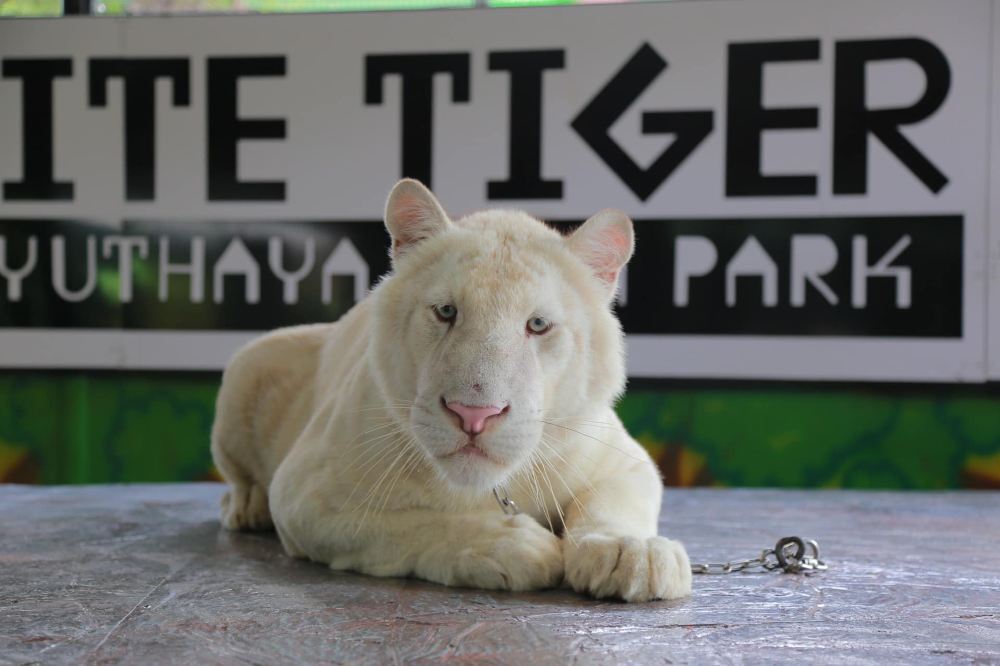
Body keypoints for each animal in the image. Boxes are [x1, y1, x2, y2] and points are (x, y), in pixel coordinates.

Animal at [211, 179, 691, 602]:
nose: (473, 415)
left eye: (537, 324)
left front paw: (631, 553)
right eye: (446, 311)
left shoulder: (625, 461)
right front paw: (511, 546)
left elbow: (615, 504)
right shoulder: (307, 491)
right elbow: (407, 522)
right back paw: (246, 508)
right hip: (249, 361)